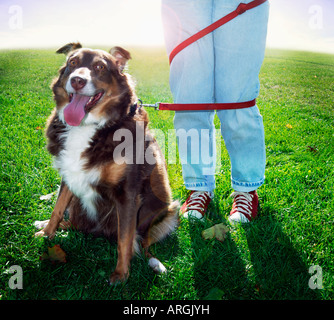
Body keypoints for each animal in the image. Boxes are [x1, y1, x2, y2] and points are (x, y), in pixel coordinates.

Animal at [35, 43, 179, 284]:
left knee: (144, 241)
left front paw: (121, 275)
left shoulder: (127, 193)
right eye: (73, 62)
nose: (77, 80)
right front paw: (46, 234)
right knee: (74, 221)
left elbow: (125, 239)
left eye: (100, 67)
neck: (89, 126)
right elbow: (57, 209)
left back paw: (154, 262)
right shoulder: (69, 175)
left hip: (168, 210)